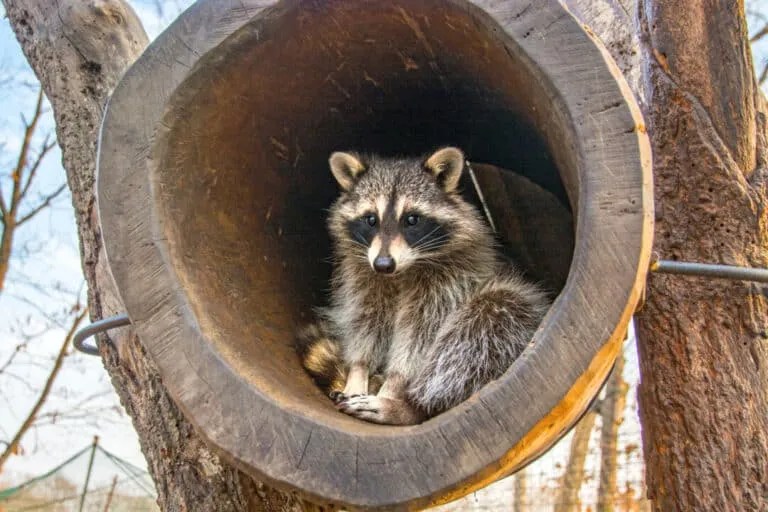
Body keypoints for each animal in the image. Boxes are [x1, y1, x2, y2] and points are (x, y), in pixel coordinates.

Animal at [299, 147, 550, 425]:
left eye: (412, 220)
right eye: (371, 219)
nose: (383, 264)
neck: (401, 272)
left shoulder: (451, 282)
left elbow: (421, 338)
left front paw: (393, 387)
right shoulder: (363, 277)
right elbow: (364, 323)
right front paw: (358, 371)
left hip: (513, 313)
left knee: (482, 326)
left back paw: (408, 408)